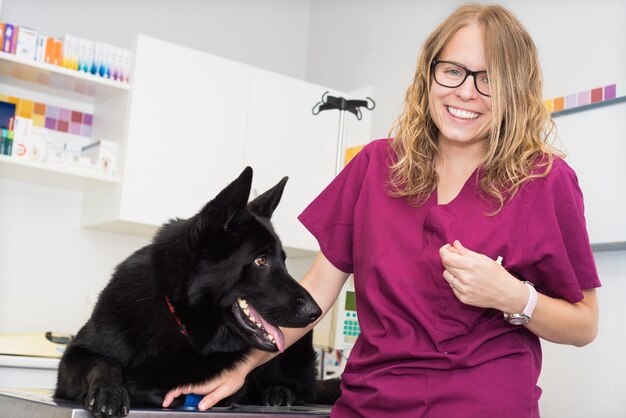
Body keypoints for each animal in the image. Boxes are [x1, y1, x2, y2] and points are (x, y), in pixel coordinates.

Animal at [53, 167, 336, 418]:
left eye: (284, 261)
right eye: (261, 261)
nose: (316, 311)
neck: (179, 316)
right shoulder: (72, 358)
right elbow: (103, 362)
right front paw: (110, 391)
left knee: (304, 389)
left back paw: (278, 392)